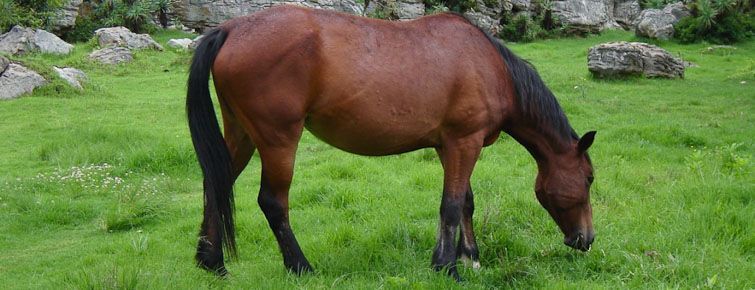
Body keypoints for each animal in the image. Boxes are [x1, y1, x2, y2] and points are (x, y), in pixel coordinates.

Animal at [188, 5, 596, 280]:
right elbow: (451, 205)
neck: (491, 67)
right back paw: (300, 266)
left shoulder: (449, 146)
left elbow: (465, 201)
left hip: (241, 132)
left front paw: (470, 257)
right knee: (272, 202)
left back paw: (212, 261)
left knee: (215, 183)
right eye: (590, 179)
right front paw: (447, 267)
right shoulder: (465, 142)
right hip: (278, 140)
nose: (586, 239)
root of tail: (231, 28)